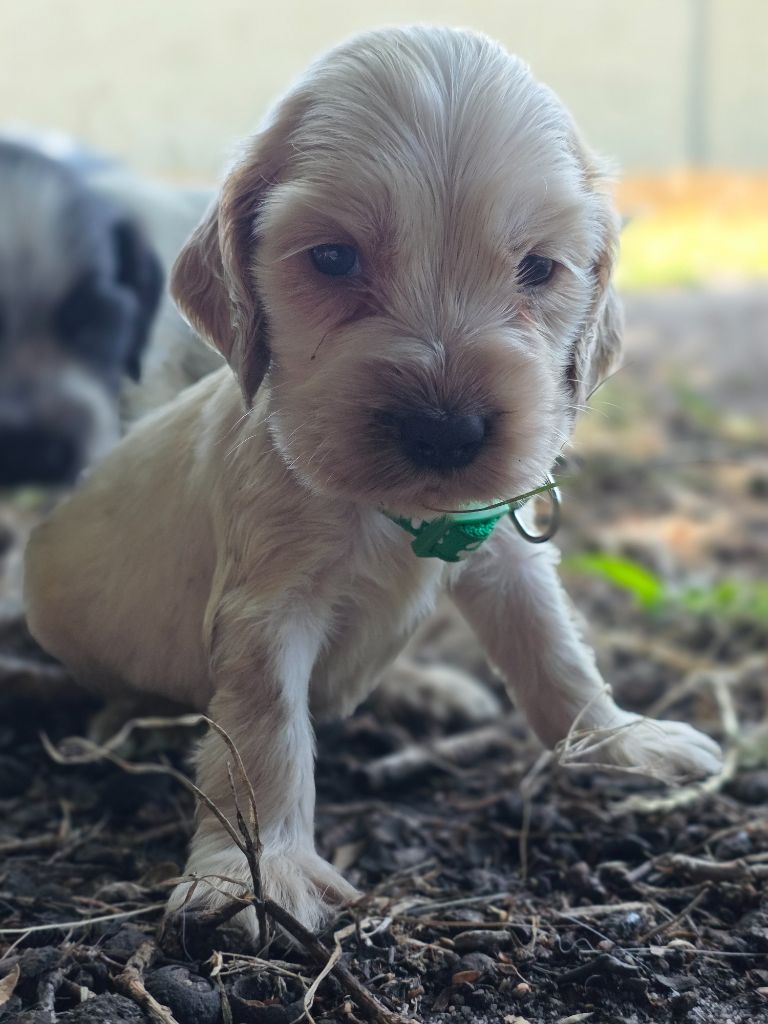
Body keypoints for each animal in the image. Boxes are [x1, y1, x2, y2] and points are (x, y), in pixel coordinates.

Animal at [24, 26, 722, 937]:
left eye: (538, 269)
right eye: (331, 257)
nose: (445, 429)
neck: (389, 514)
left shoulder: (504, 553)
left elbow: (557, 651)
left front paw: (620, 741)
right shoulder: (265, 610)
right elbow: (266, 731)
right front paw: (256, 872)